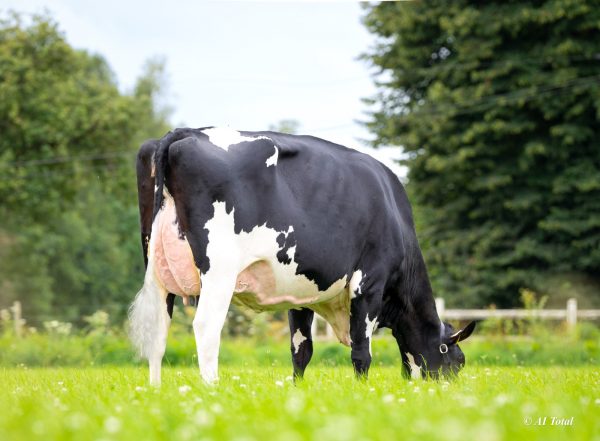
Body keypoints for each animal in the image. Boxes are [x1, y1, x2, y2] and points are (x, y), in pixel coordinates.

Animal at [129, 125, 476, 384]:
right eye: (458, 361)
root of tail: (186, 132)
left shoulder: (300, 293)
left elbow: (301, 351)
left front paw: (298, 390)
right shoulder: (368, 283)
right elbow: (361, 351)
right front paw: (361, 391)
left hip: (156, 271)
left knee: (157, 332)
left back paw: (155, 390)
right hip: (219, 271)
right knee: (206, 328)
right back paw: (212, 387)